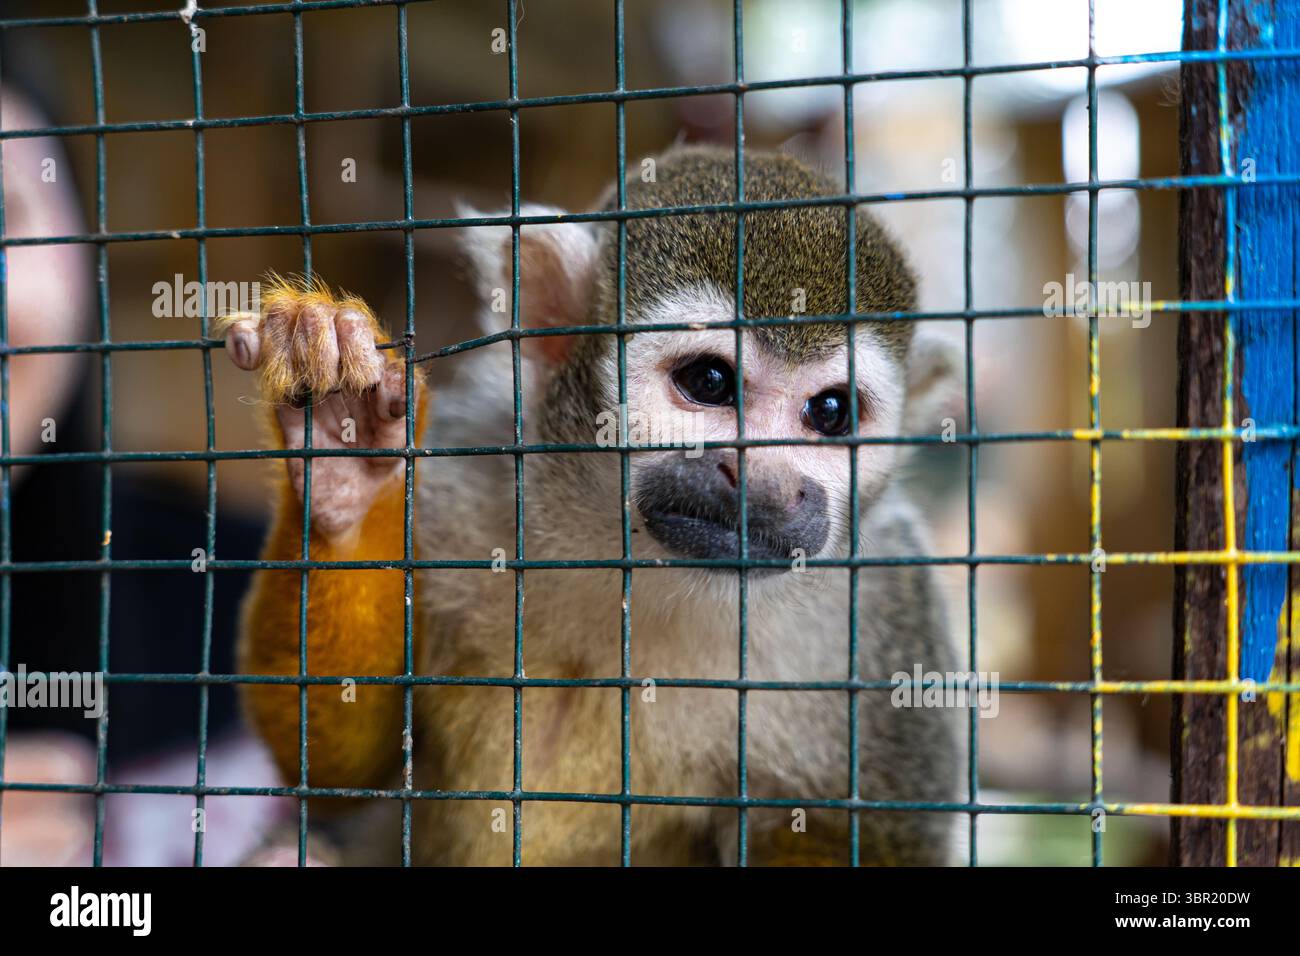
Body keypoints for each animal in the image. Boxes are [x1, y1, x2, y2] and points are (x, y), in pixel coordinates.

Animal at [219, 144, 963, 866]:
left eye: (832, 413)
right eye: (709, 381)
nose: (762, 478)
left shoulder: (882, 603)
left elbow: (861, 835)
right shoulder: (459, 488)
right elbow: (350, 764)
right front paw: (343, 462)